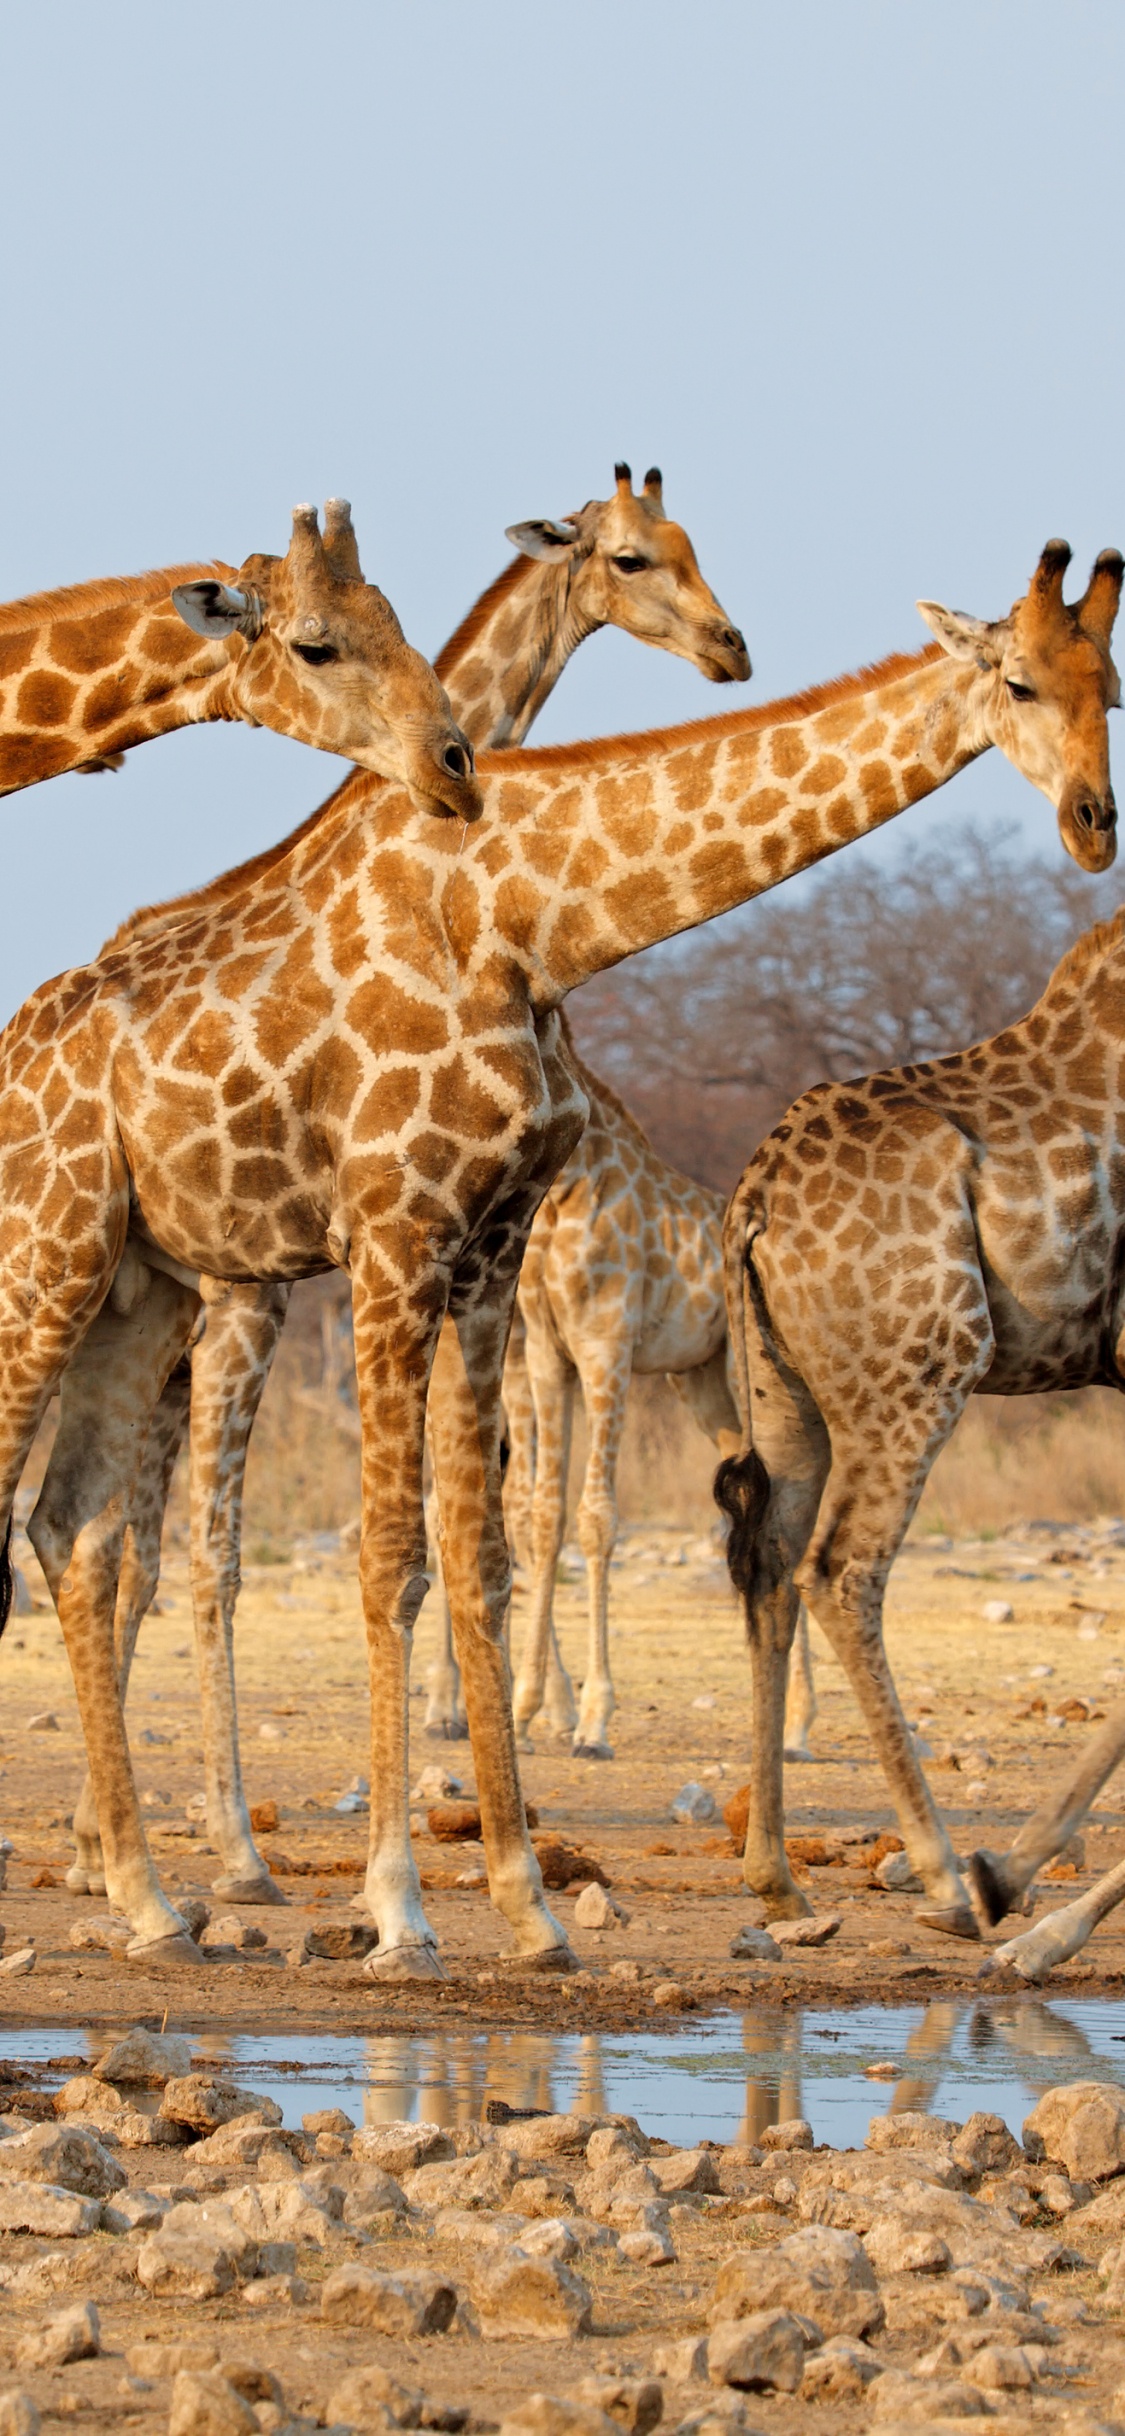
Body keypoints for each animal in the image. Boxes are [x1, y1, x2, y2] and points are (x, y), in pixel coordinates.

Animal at [61, 464, 749, 1898]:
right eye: (630, 556)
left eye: (691, 543)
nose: (731, 649)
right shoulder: (274, 1289)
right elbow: (233, 1556)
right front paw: (257, 1845)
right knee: (150, 1544)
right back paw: (167, 1843)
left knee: (119, 1540)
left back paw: (113, 1838)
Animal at [713, 544, 1123, 1943]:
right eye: (1016, 680)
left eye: (1115, 681)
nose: (1095, 821)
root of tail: (752, 1207)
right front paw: (1024, 1896)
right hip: (917, 1373)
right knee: (844, 1570)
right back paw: (947, 1873)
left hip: (783, 1389)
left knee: (768, 1559)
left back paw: (779, 1872)